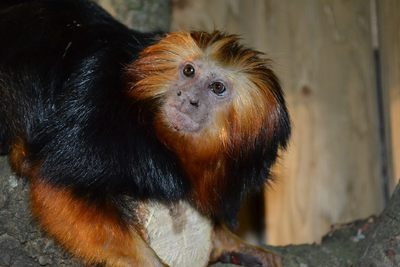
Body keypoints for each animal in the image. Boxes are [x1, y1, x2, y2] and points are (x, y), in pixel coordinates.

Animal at [0, 0, 290, 267]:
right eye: (189, 71)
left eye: (217, 87)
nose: (188, 98)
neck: (153, 129)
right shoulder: (97, 109)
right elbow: (59, 185)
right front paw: (150, 261)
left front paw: (232, 242)